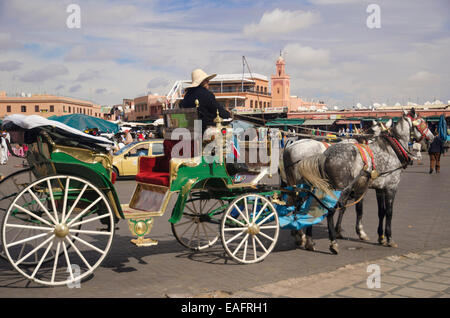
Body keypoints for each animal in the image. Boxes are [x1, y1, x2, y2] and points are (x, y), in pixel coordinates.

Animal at [290, 110, 434, 255]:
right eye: (423, 123)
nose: (432, 137)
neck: (391, 150)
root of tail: (324, 155)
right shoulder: (391, 187)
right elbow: (388, 212)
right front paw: (389, 238)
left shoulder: (379, 189)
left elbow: (381, 212)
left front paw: (381, 237)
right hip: (340, 190)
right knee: (329, 211)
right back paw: (331, 243)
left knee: (310, 207)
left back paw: (308, 240)